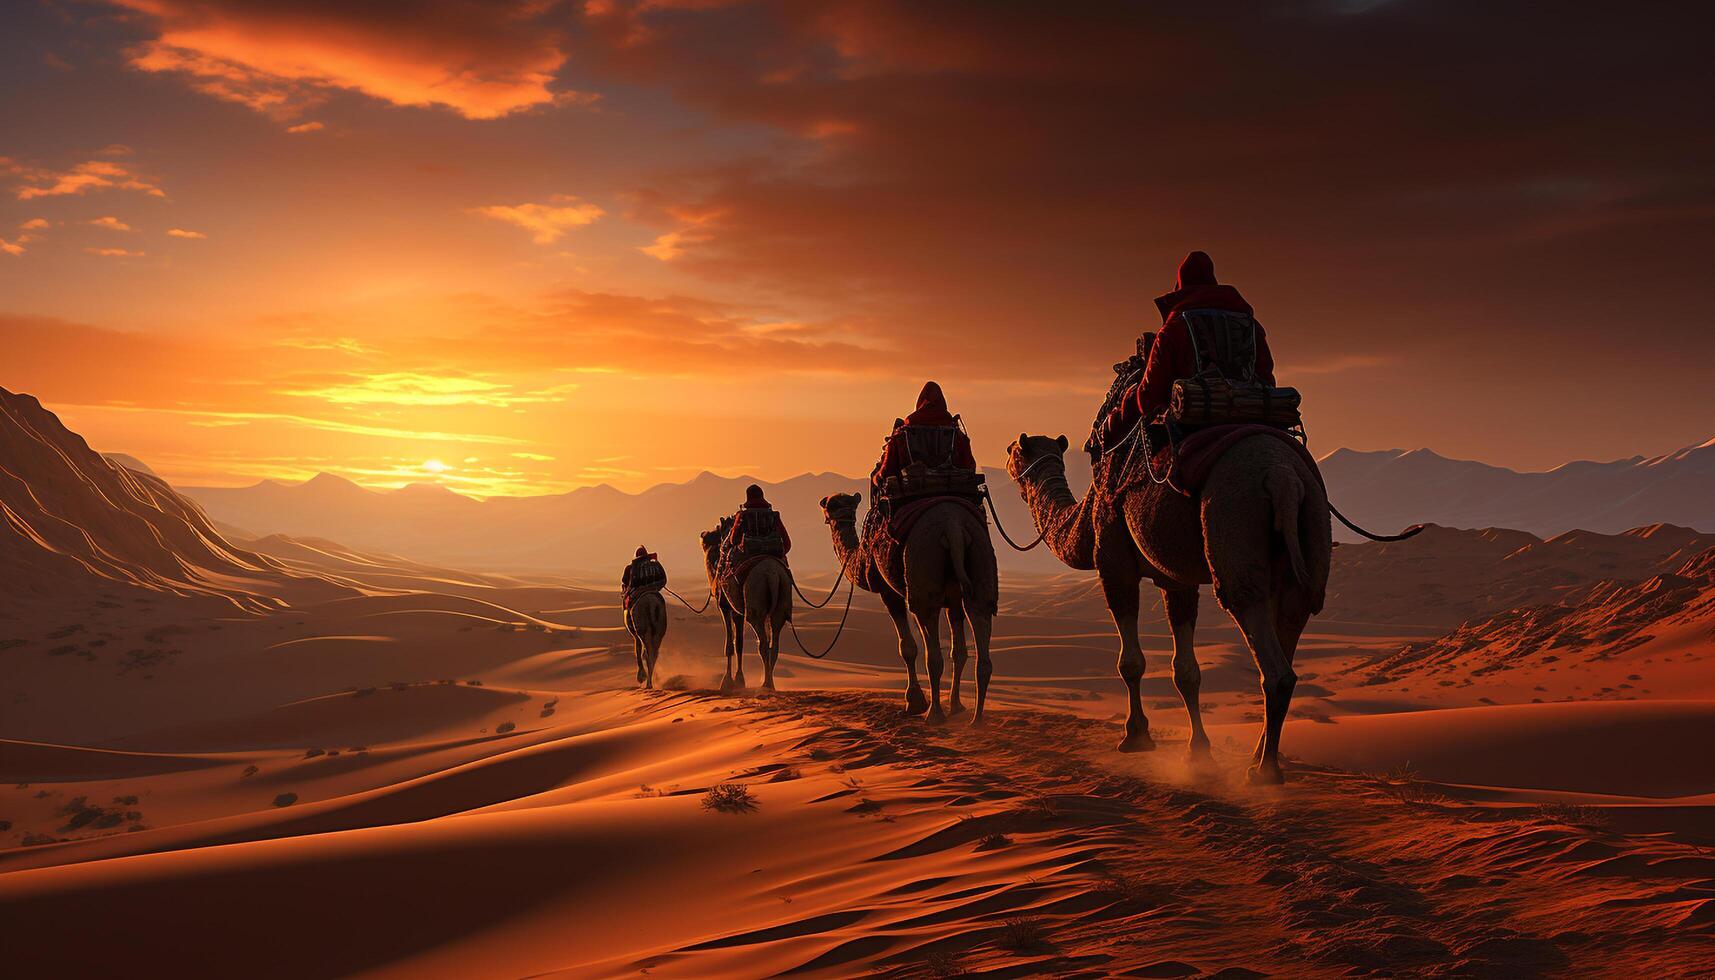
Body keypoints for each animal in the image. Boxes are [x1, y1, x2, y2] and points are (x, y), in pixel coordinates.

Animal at [699, 518, 792, 693]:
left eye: (712, 536)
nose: (703, 533)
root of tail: (773, 575)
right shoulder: (738, 612)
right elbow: (740, 643)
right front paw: (739, 680)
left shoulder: (725, 606)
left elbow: (730, 644)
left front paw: (727, 681)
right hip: (782, 599)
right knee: (774, 643)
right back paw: (770, 684)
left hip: (755, 602)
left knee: (763, 643)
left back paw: (766, 684)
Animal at [819, 490, 1001, 727]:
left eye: (830, 506)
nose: (830, 512)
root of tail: (953, 526)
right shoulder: (954, 599)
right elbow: (958, 651)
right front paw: (956, 706)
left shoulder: (887, 591)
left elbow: (907, 647)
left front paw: (914, 702)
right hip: (981, 556)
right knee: (980, 621)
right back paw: (976, 720)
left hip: (922, 566)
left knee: (932, 651)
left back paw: (934, 714)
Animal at [1001, 432, 1330, 786]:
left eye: (1015, 453)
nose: (1006, 458)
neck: (1087, 516)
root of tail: (1285, 478)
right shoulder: (1176, 580)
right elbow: (1186, 671)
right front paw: (1196, 753)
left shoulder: (1114, 562)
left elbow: (1130, 662)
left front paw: (1135, 737)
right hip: (1310, 535)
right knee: (1291, 622)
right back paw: (1258, 754)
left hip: (1234, 525)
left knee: (1268, 653)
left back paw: (1264, 772)